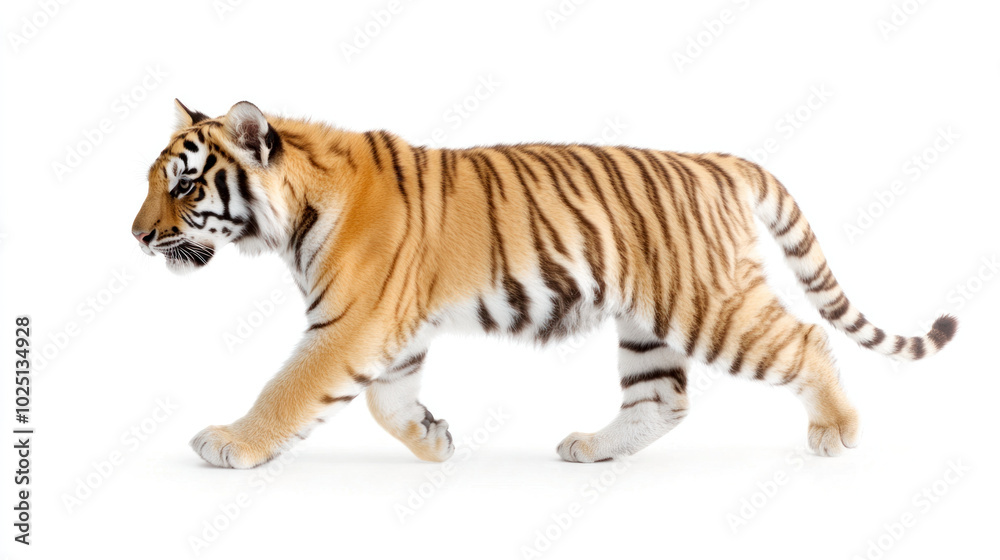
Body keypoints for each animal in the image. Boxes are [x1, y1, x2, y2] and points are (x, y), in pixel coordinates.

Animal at [132, 100, 958, 468]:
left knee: (807, 338)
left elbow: (290, 388)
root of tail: (717, 161)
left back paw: (837, 431)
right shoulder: (392, 331)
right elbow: (385, 400)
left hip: (711, 306)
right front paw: (433, 442)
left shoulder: (350, 324)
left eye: (183, 186)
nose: (136, 237)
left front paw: (229, 442)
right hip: (649, 323)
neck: (297, 206)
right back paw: (592, 447)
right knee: (663, 399)